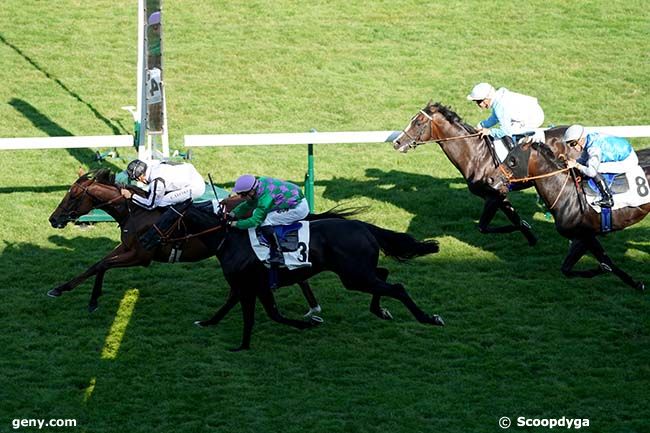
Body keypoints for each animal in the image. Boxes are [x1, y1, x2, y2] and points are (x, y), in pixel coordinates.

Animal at [46, 168, 320, 314]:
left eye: (73, 196)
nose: (53, 219)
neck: (135, 211)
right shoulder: (126, 246)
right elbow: (96, 265)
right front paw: (60, 289)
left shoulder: (140, 255)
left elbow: (103, 265)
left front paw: (92, 301)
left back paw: (313, 308)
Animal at [185, 203, 442, 352]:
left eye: (174, 217)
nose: (168, 242)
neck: (230, 242)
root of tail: (363, 226)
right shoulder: (249, 287)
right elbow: (231, 307)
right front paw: (207, 323)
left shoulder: (250, 287)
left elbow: (261, 315)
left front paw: (242, 346)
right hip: (358, 273)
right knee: (383, 274)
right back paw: (381, 310)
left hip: (355, 276)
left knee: (397, 288)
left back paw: (429, 318)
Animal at [502, 140, 648, 288]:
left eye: (512, 160)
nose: (495, 179)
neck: (566, 193)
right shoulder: (583, 237)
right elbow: (568, 269)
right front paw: (634, 283)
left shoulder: (586, 235)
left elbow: (603, 262)